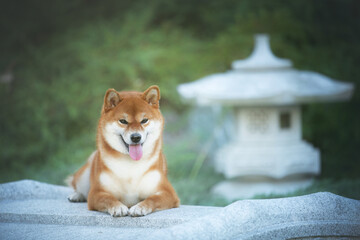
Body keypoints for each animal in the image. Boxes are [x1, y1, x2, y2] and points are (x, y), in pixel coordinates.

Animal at [66, 85, 180, 217]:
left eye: (144, 120)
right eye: (123, 121)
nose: (135, 137)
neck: (130, 166)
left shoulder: (168, 192)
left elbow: (152, 199)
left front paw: (140, 207)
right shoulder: (97, 192)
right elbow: (108, 198)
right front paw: (118, 207)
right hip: (84, 175)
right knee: (78, 185)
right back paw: (76, 195)